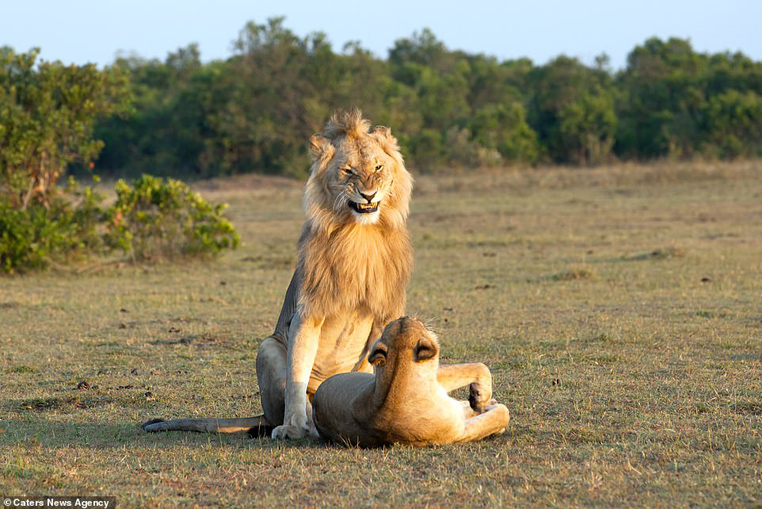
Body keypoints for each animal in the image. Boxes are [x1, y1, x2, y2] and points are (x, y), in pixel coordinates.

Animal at [142, 109, 416, 438]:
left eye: (378, 167)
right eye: (348, 171)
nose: (369, 193)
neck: (359, 236)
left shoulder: (386, 314)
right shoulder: (308, 311)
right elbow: (297, 373)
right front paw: (294, 426)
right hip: (268, 346)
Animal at [312, 316, 508, 446]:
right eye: (419, 324)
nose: (405, 316)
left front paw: (479, 400)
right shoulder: (457, 432)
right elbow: (501, 414)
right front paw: (484, 403)